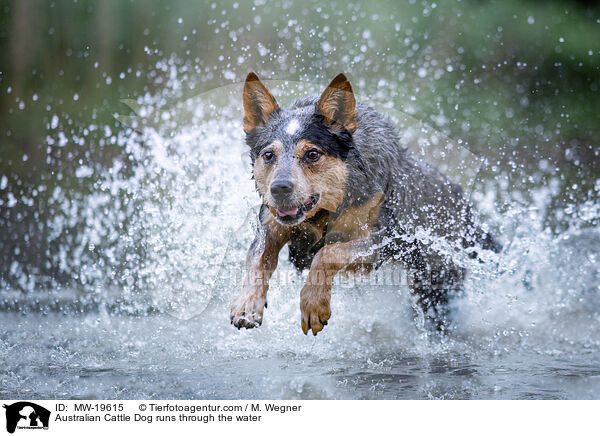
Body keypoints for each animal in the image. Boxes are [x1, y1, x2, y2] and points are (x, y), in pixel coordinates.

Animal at [227, 73, 500, 336]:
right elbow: (257, 258)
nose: (280, 188)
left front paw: (314, 305)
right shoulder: (270, 224)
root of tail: (468, 210)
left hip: (435, 287)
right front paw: (247, 305)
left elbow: (328, 253)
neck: (324, 213)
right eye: (268, 155)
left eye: (312, 154)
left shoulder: (386, 242)